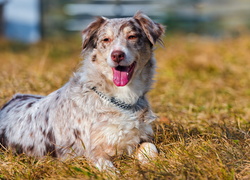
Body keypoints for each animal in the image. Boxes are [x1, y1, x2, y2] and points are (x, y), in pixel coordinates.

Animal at [0, 11, 164, 170]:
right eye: (106, 39)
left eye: (132, 36)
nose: (117, 55)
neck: (120, 98)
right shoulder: (90, 152)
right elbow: (109, 169)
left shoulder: (141, 137)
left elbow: (150, 147)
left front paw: (151, 164)